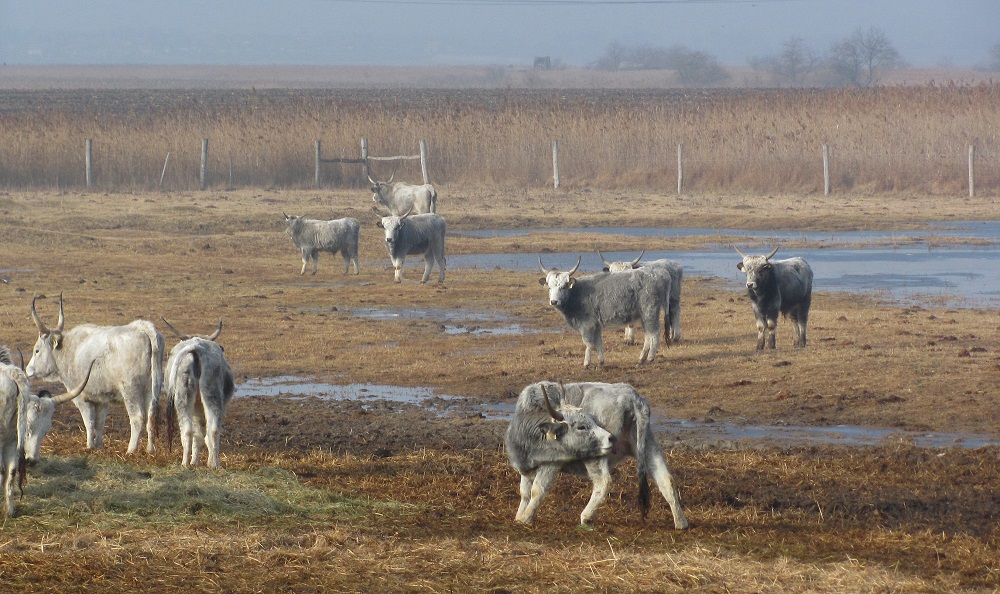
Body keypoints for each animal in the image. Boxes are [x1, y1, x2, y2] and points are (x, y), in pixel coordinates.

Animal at [24, 292, 164, 454]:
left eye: (37, 350)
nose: (28, 370)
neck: (70, 350)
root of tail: (142, 327)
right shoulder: (102, 398)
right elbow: (100, 421)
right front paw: (98, 444)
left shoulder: (81, 397)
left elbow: (89, 421)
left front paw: (90, 445)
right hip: (151, 388)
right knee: (151, 416)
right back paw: (150, 449)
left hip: (130, 390)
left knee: (137, 417)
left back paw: (130, 450)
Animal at [162, 320, 236, 468]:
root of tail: (196, 347)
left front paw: (194, 461)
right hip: (210, 396)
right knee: (211, 430)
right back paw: (213, 464)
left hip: (185, 399)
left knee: (190, 431)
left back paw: (188, 463)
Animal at [508, 380, 688, 528]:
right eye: (581, 426)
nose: (610, 437)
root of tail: (633, 398)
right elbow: (524, 492)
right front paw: (519, 515)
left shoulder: (550, 464)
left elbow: (537, 490)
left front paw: (526, 518)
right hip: (647, 445)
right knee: (666, 480)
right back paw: (680, 522)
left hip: (595, 455)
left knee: (604, 481)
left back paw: (586, 516)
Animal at [540, 254, 672, 366]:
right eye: (549, 287)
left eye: (563, 287)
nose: (554, 301)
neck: (576, 293)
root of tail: (660, 274)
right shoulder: (596, 325)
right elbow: (599, 342)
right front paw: (601, 361)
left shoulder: (587, 326)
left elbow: (588, 343)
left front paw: (586, 363)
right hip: (644, 315)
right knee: (648, 334)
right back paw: (641, 359)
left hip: (650, 312)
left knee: (654, 333)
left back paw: (650, 358)